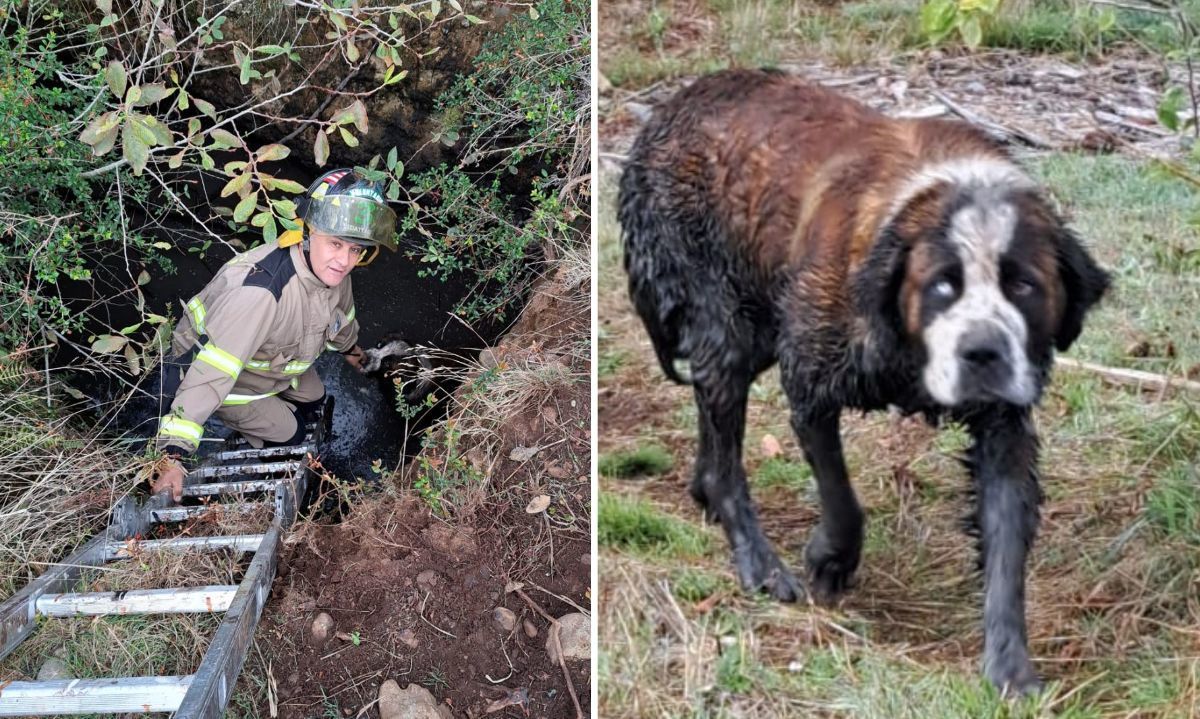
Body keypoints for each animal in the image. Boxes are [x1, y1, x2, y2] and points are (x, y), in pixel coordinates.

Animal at [624, 70, 1108, 696]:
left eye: (1023, 285)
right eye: (942, 285)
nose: (983, 352)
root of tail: (668, 108)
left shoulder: (1005, 430)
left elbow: (1006, 547)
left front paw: (1009, 664)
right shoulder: (810, 378)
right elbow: (842, 498)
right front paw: (831, 559)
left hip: (757, 327)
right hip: (727, 324)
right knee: (728, 452)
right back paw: (760, 563)